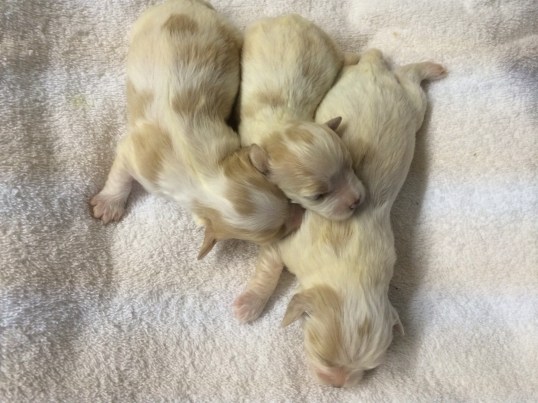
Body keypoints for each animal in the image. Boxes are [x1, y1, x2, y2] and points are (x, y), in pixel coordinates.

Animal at [91, 0, 303, 259]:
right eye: (278, 232)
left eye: (285, 197)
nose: (301, 214)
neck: (202, 176)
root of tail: (189, 3)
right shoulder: (138, 155)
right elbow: (120, 174)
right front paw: (108, 205)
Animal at [234, 49, 446, 387]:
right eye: (324, 358)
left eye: (369, 368)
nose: (337, 385)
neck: (349, 266)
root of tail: (374, 68)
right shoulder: (287, 243)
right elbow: (269, 266)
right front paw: (249, 305)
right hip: (412, 105)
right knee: (408, 77)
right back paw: (429, 68)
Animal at [238, 14, 365, 221]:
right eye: (317, 196)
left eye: (350, 165)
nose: (356, 201)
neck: (278, 128)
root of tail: (292, 18)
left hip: (328, 47)